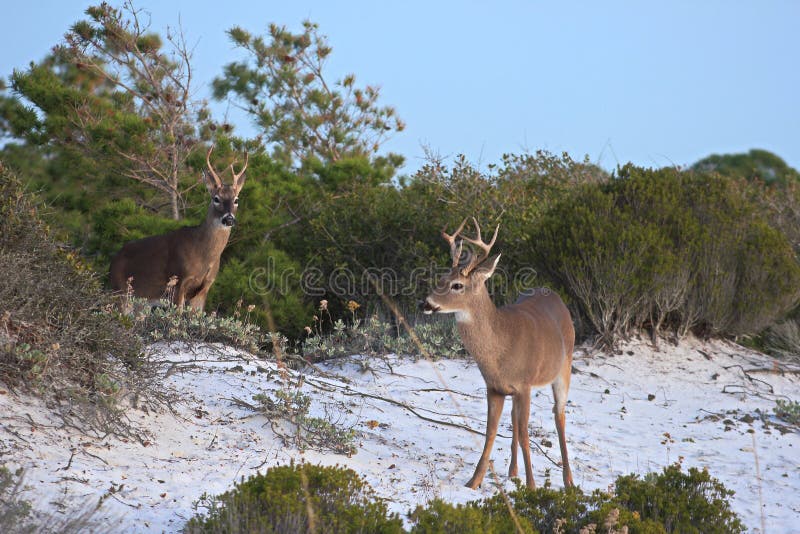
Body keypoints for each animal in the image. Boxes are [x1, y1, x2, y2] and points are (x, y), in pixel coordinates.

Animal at [109, 147, 247, 314]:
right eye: (216, 198)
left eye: (236, 200)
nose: (229, 219)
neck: (204, 255)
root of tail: (112, 262)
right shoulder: (179, 281)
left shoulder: (204, 288)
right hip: (119, 292)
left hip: (139, 302)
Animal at [424, 218, 576, 490]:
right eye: (441, 278)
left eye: (457, 285)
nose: (427, 304)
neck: (501, 348)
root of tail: (553, 294)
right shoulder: (494, 387)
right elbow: (490, 431)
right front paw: (473, 482)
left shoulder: (525, 385)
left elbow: (526, 434)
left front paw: (532, 486)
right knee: (515, 418)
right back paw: (513, 471)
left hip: (564, 367)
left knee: (559, 415)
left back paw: (568, 480)